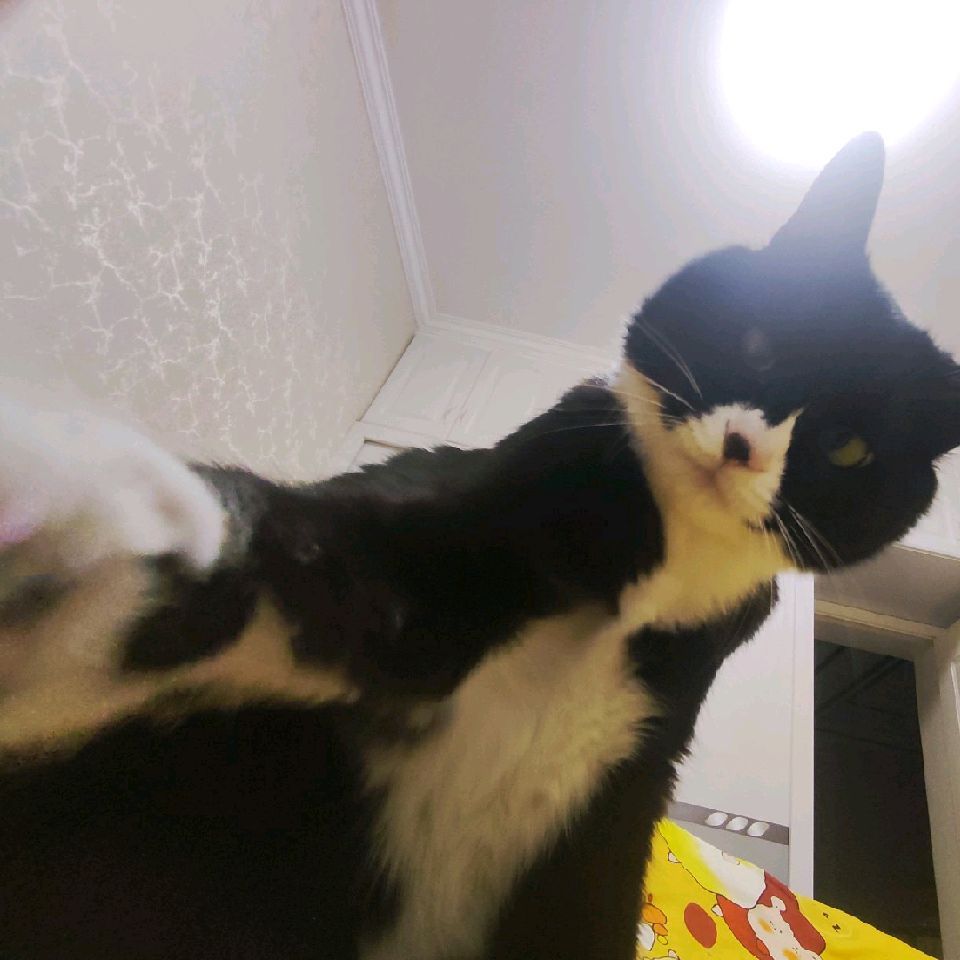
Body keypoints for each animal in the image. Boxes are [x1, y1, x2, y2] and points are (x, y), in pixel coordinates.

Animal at [0, 132, 957, 960]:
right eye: (760, 341)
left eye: (847, 448)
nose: (743, 447)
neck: (647, 572)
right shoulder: (411, 560)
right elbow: (250, 562)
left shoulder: (611, 815)